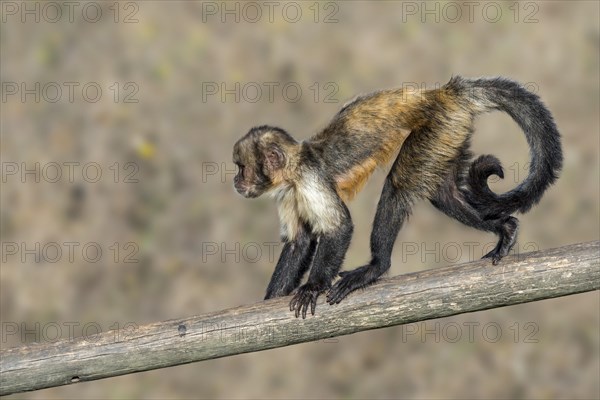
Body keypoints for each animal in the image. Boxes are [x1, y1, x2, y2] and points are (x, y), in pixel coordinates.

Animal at [231, 76, 564, 318]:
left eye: (242, 168)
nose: (236, 180)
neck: (293, 169)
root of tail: (442, 92)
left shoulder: (308, 178)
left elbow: (340, 228)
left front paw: (313, 287)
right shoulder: (288, 192)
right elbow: (299, 241)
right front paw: (271, 299)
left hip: (440, 124)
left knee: (398, 186)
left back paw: (376, 267)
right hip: (450, 133)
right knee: (444, 193)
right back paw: (504, 229)